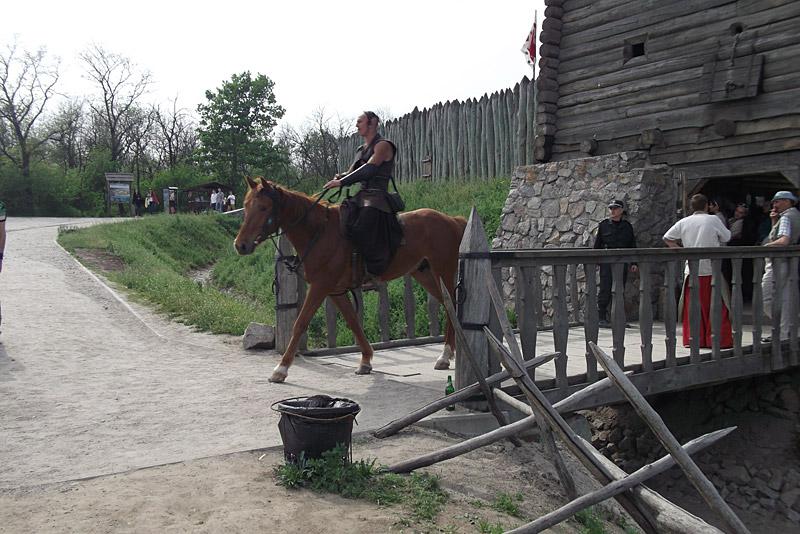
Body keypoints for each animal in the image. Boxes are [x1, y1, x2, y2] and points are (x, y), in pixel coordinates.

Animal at [231, 178, 468, 384]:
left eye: (263, 207)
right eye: (246, 206)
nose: (240, 245)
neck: (319, 232)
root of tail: (453, 220)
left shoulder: (320, 287)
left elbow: (300, 323)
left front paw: (281, 370)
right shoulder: (334, 291)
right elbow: (353, 321)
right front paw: (365, 361)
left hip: (442, 272)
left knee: (452, 306)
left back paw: (446, 355)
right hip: (425, 274)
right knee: (447, 305)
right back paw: (448, 355)